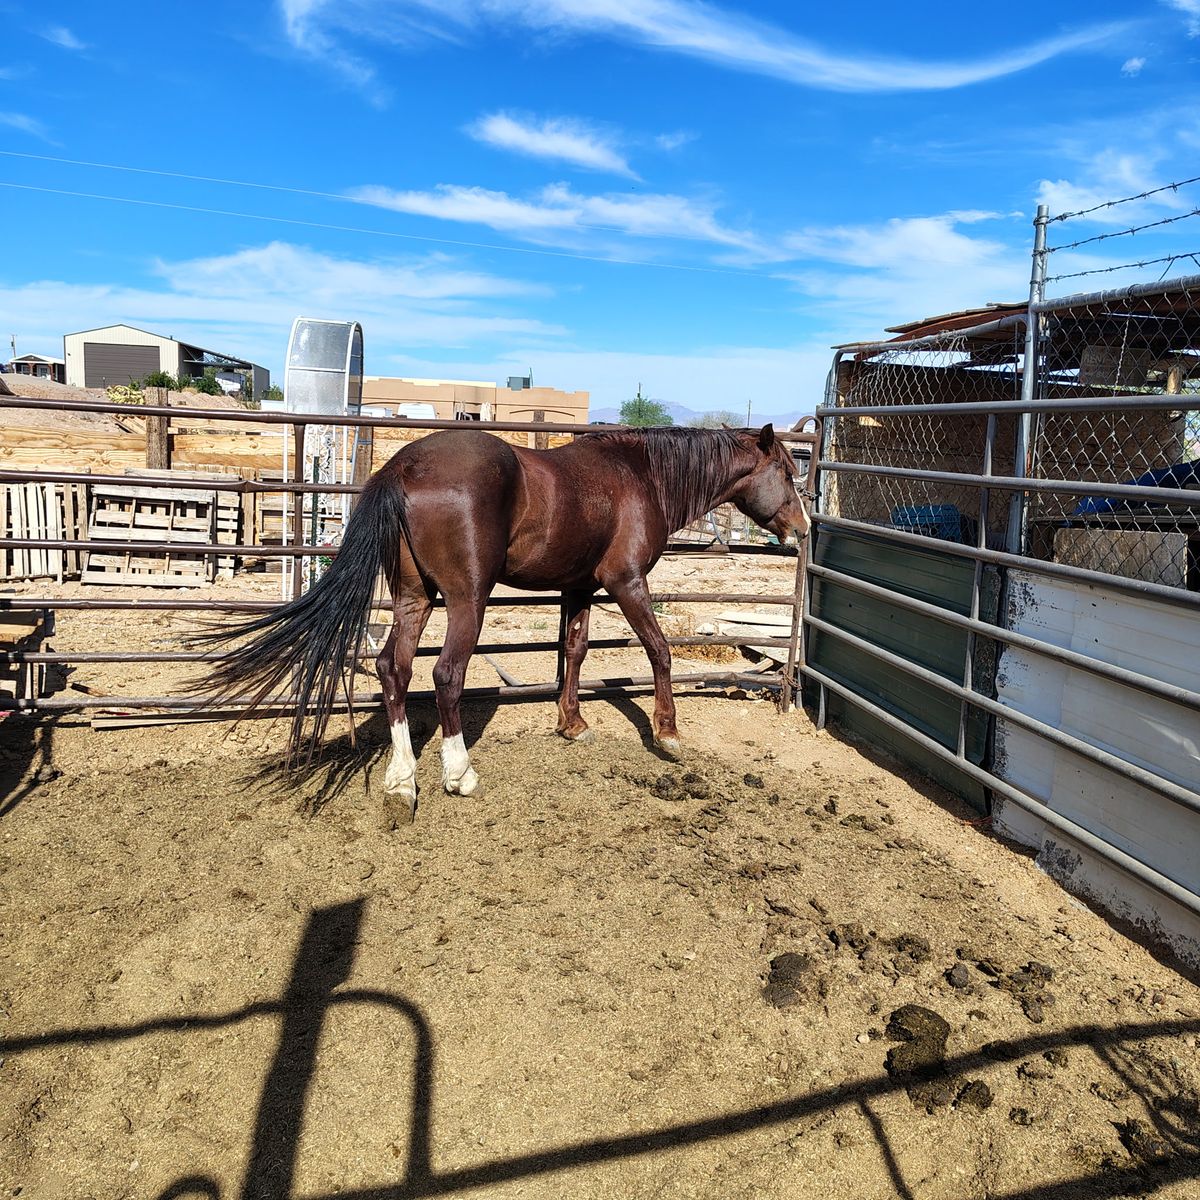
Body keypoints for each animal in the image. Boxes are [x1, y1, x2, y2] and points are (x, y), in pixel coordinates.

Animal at [201, 423, 810, 811]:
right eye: (785, 470)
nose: (804, 529)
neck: (639, 476)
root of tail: (402, 466)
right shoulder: (626, 582)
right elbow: (659, 649)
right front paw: (668, 733)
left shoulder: (579, 587)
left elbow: (574, 651)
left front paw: (572, 723)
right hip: (467, 599)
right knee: (445, 675)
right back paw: (459, 775)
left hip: (414, 597)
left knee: (394, 669)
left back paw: (402, 781)